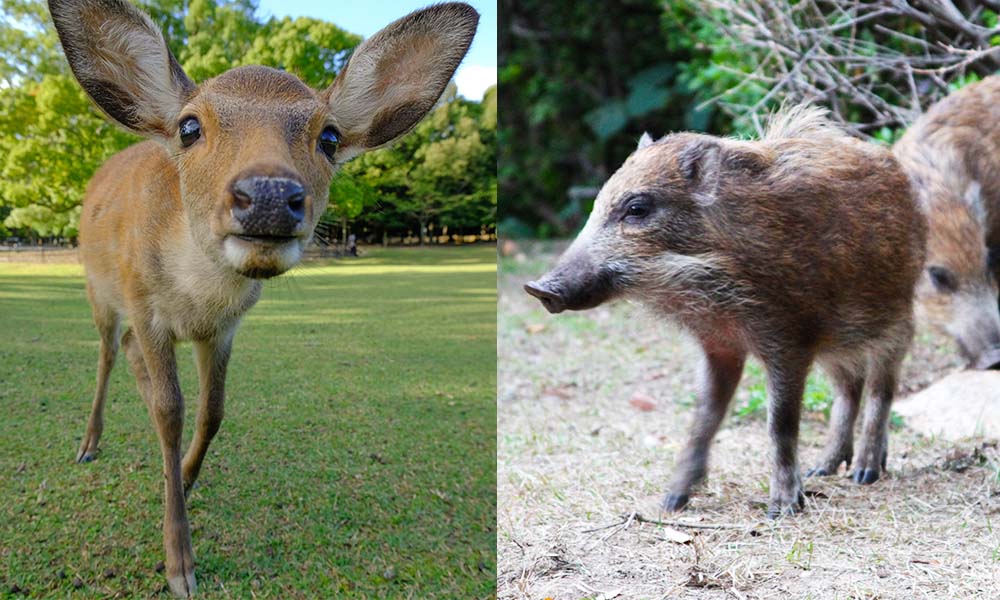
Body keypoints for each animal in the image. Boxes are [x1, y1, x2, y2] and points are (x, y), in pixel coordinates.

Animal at [48, 0, 478, 596]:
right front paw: (179, 563)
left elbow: (213, 412)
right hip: (98, 288)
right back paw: (89, 443)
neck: (194, 301)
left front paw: (183, 476)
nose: (270, 196)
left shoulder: (225, 329)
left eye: (329, 137)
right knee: (108, 354)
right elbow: (170, 411)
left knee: (131, 355)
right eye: (190, 127)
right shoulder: (145, 303)